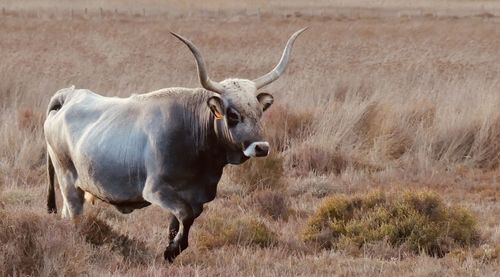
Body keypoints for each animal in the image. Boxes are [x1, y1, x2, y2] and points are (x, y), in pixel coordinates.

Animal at [45, 28, 306, 260]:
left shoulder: (193, 195)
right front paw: (172, 250)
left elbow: (181, 221)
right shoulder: (156, 190)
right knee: (73, 216)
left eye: (260, 112)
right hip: (68, 182)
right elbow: (185, 215)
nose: (261, 147)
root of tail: (69, 96)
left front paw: (172, 248)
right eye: (233, 115)